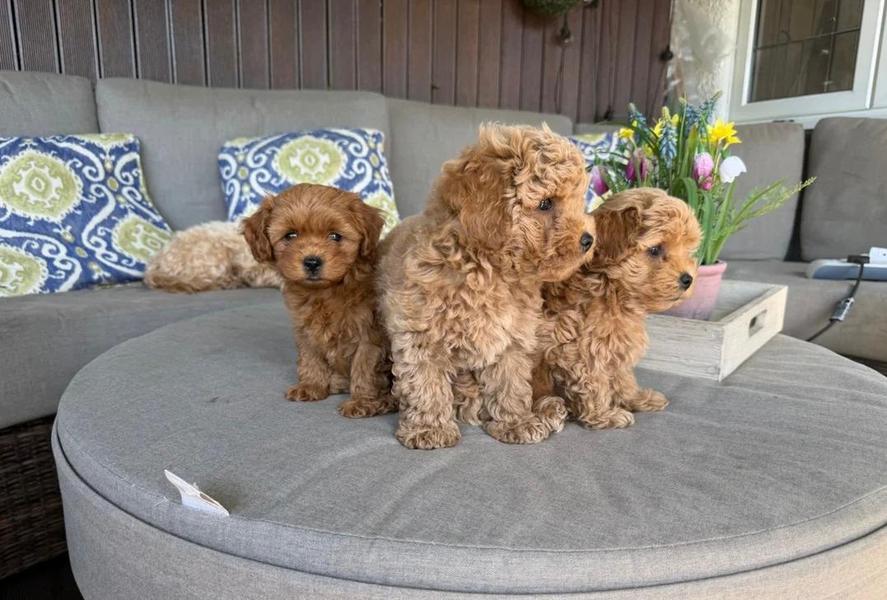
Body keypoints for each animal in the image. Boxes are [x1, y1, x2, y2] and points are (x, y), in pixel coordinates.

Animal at [242, 183, 395, 418]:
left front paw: (363, 401)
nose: (312, 261)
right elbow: (310, 356)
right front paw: (311, 386)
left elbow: (365, 368)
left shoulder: (370, 335)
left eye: (335, 236)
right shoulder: (305, 328)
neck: (325, 291)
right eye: (290, 235)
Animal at [378, 124, 595, 449]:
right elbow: (425, 379)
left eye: (578, 200)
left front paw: (516, 421)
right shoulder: (419, 329)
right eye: (545, 204)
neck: (487, 271)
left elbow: (510, 380)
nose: (588, 239)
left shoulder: (511, 335)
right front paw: (428, 428)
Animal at [533, 188, 701, 429]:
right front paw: (605, 415)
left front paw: (635, 398)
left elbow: (622, 375)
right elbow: (595, 384)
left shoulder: (619, 342)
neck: (612, 290)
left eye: (687, 249)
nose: (688, 279)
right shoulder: (584, 350)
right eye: (655, 249)